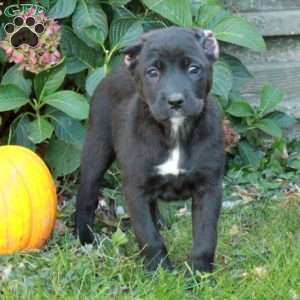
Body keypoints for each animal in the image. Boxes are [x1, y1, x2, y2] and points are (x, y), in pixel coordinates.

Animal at [75, 27, 225, 274]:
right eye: (152, 72)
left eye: (194, 69)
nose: (175, 101)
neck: (174, 132)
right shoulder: (135, 189)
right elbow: (148, 236)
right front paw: (159, 271)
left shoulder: (209, 186)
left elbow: (206, 236)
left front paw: (199, 273)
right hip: (96, 151)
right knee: (86, 197)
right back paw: (86, 239)